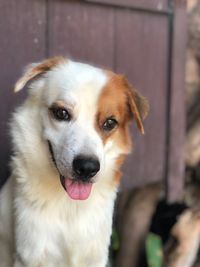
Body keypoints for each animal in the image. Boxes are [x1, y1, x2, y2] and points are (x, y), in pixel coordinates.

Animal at [0, 56, 148, 266]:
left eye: (110, 123)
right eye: (61, 113)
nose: (87, 168)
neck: (70, 206)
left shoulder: (95, 256)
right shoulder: (29, 256)